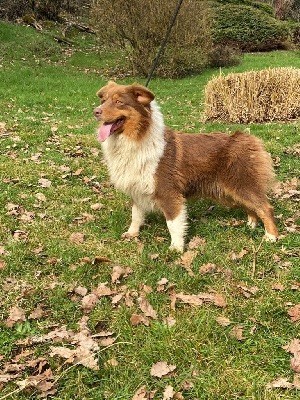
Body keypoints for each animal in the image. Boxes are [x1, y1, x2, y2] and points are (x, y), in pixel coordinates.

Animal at [94, 79, 278, 252]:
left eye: (119, 101)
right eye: (103, 100)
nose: (95, 111)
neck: (137, 138)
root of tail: (247, 138)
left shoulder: (168, 192)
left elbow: (173, 224)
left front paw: (176, 248)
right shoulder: (137, 188)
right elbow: (136, 215)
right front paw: (132, 233)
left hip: (242, 183)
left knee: (265, 207)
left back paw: (271, 236)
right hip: (234, 188)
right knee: (251, 206)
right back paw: (251, 224)